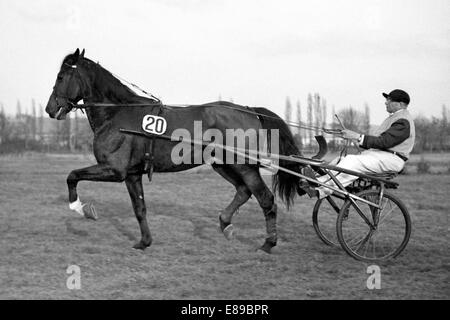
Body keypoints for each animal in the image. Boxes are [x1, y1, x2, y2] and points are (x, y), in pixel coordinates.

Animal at [45, 48, 306, 252]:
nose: (50, 108)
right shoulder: (132, 174)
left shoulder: (114, 169)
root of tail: (249, 110)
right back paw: (225, 224)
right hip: (223, 164)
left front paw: (82, 209)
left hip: (243, 166)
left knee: (265, 199)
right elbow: (139, 208)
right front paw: (144, 241)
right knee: (243, 191)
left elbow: (72, 176)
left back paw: (268, 243)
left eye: (61, 76)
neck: (117, 114)